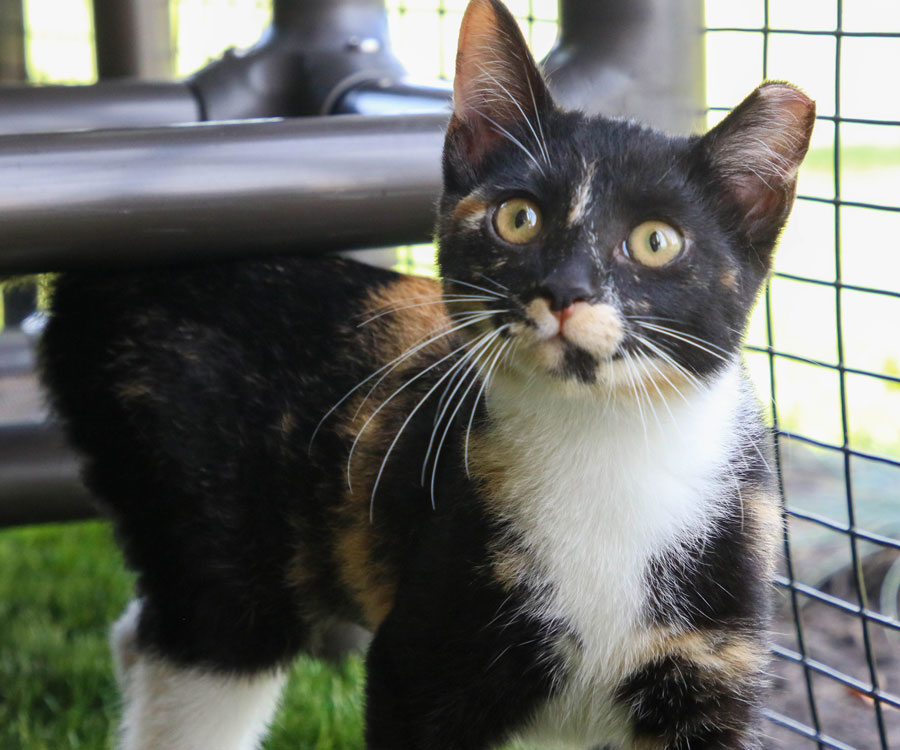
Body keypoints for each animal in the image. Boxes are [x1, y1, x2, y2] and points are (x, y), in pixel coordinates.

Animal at [38, 1, 816, 750]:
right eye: (518, 218)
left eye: (657, 241)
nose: (564, 290)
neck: (604, 448)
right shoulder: (420, 662)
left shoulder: (715, 662)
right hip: (207, 508)